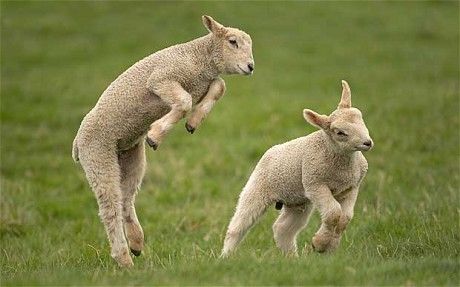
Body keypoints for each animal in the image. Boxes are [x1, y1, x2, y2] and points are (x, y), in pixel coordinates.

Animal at [71, 15, 255, 268]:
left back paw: (136, 243)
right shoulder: (160, 79)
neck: (199, 59)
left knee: (126, 199)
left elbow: (219, 87)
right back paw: (124, 259)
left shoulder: (204, 82)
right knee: (110, 208)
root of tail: (77, 143)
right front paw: (155, 134)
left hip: (130, 155)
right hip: (98, 155)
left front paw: (193, 123)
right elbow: (186, 101)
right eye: (232, 41)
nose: (251, 66)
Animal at [221, 80, 372, 258]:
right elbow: (333, 213)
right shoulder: (315, 185)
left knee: (283, 228)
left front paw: (328, 246)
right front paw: (319, 243)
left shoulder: (351, 187)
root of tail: (271, 150)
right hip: (257, 188)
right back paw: (225, 256)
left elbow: (344, 218)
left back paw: (292, 258)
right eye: (340, 132)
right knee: (238, 225)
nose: (367, 143)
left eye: (361, 118)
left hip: (297, 201)